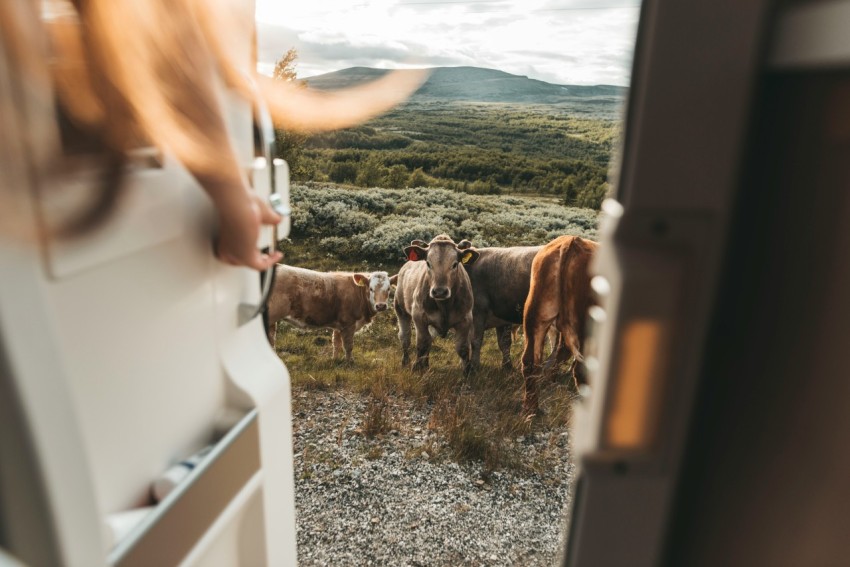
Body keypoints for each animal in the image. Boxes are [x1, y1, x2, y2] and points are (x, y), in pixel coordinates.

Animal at [266, 268, 396, 364]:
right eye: (371, 288)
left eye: (388, 289)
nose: (381, 306)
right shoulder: (348, 324)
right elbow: (348, 345)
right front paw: (350, 362)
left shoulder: (339, 326)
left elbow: (336, 343)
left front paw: (335, 360)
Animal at [390, 235, 476, 378]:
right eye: (428, 263)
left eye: (455, 264)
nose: (439, 291)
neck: (444, 305)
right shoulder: (419, 317)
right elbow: (422, 344)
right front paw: (417, 368)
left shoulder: (465, 319)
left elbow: (463, 348)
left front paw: (467, 372)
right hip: (400, 309)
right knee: (405, 338)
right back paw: (406, 361)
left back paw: (425, 363)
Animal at [516, 235, 596, 412]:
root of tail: (571, 241)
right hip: (585, 326)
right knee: (581, 371)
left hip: (535, 316)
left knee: (530, 361)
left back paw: (531, 409)